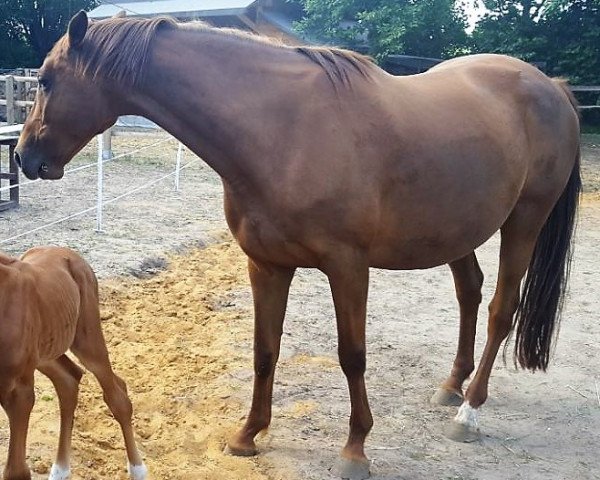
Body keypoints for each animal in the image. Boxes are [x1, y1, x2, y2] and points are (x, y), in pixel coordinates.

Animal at [0, 248, 145, 480]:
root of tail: (67, 252)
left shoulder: (18, 392)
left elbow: (17, 471)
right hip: (46, 352)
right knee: (69, 379)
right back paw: (60, 470)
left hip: (87, 340)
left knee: (117, 396)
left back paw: (138, 470)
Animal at [15, 10, 580, 476]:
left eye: (44, 81)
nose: (23, 157)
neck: (283, 131)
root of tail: (551, 87)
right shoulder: (266, 265)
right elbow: (265, 350)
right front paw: (247, 435)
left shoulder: (348, 267)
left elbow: (352, 355)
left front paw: (355, 449)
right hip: (456, 231)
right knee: (470, 293)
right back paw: (450, 387)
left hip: (524, 222)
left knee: (502, 309)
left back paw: (468, 411)